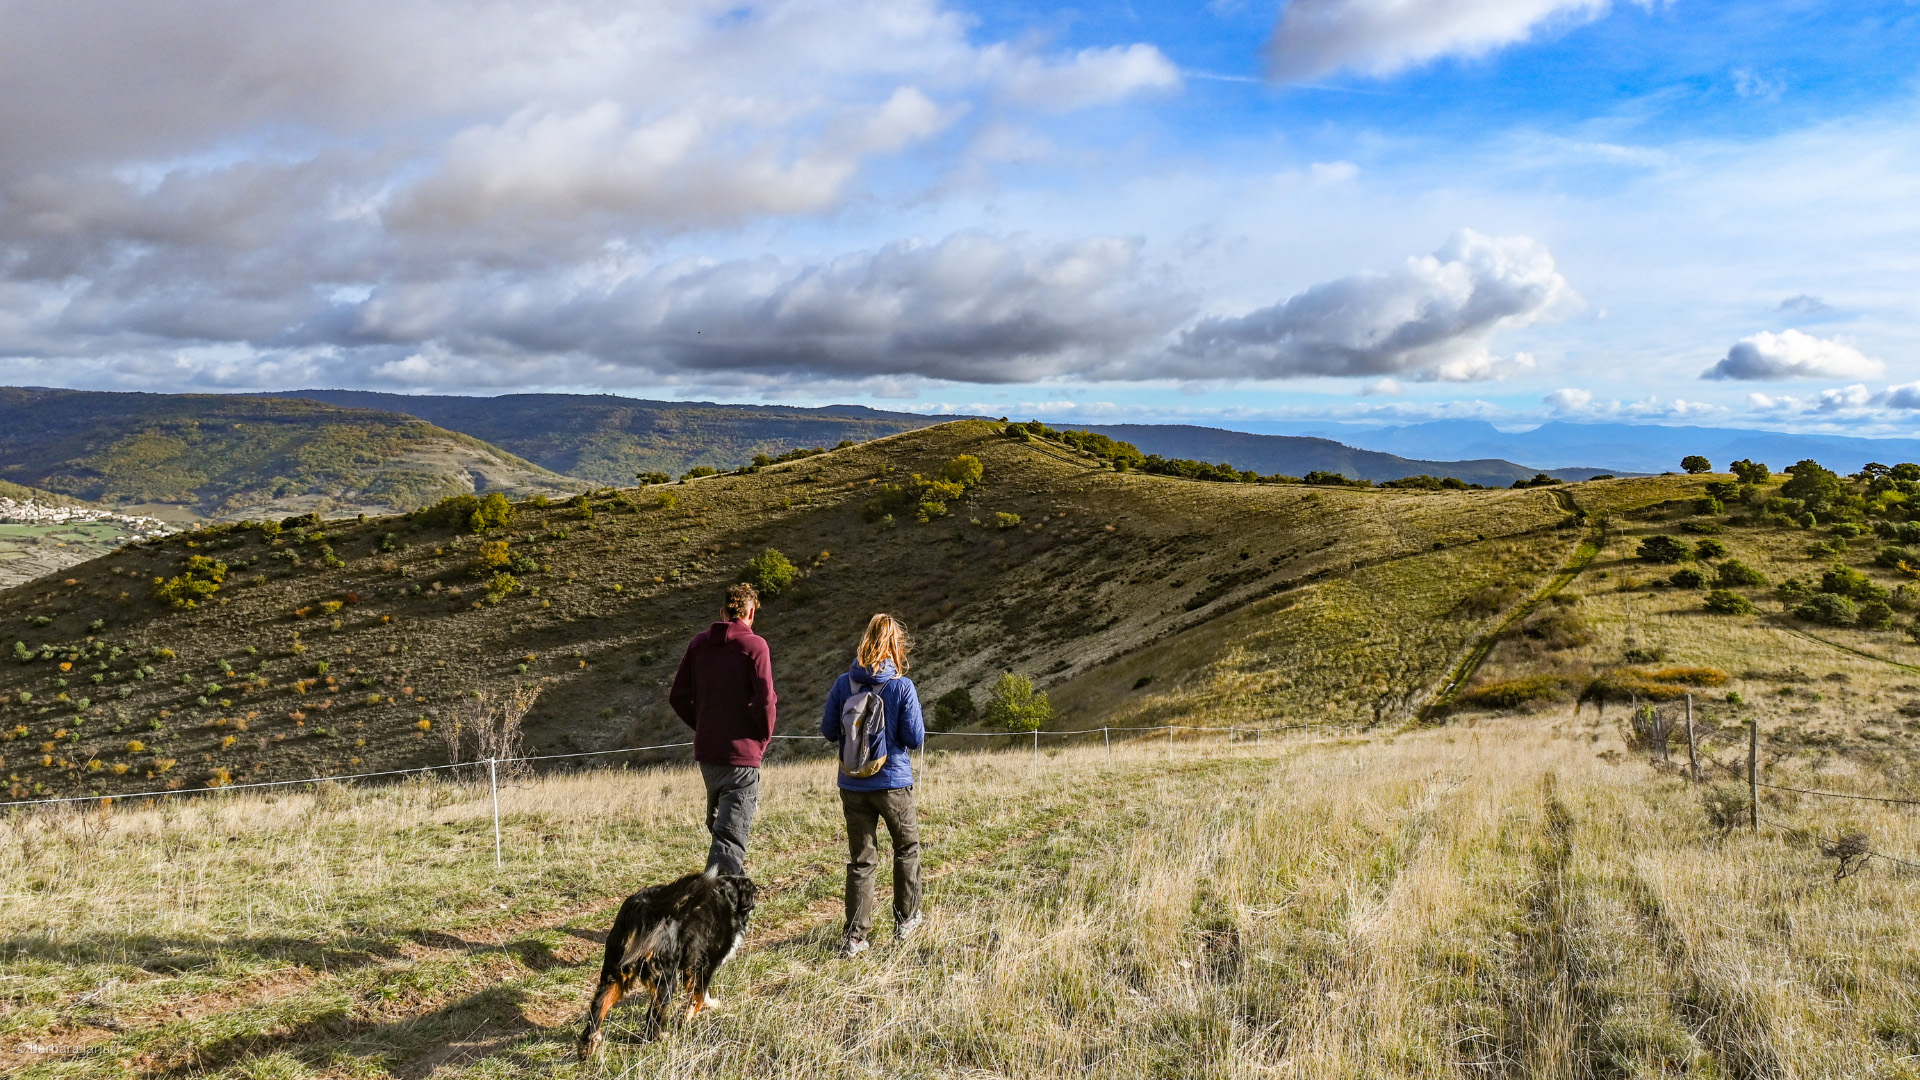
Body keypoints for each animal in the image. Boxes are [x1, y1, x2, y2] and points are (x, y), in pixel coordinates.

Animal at [576, 864, 756, 1053]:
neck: (727, 894)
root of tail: (646, 908)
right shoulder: (705, 964)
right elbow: (698, 996)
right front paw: (686, 1017)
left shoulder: (691, 965)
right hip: (665, 979)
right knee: (652, 1018)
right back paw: (659, 1038)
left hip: (614, 974)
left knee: (597, 1008)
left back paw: (587, 1046)